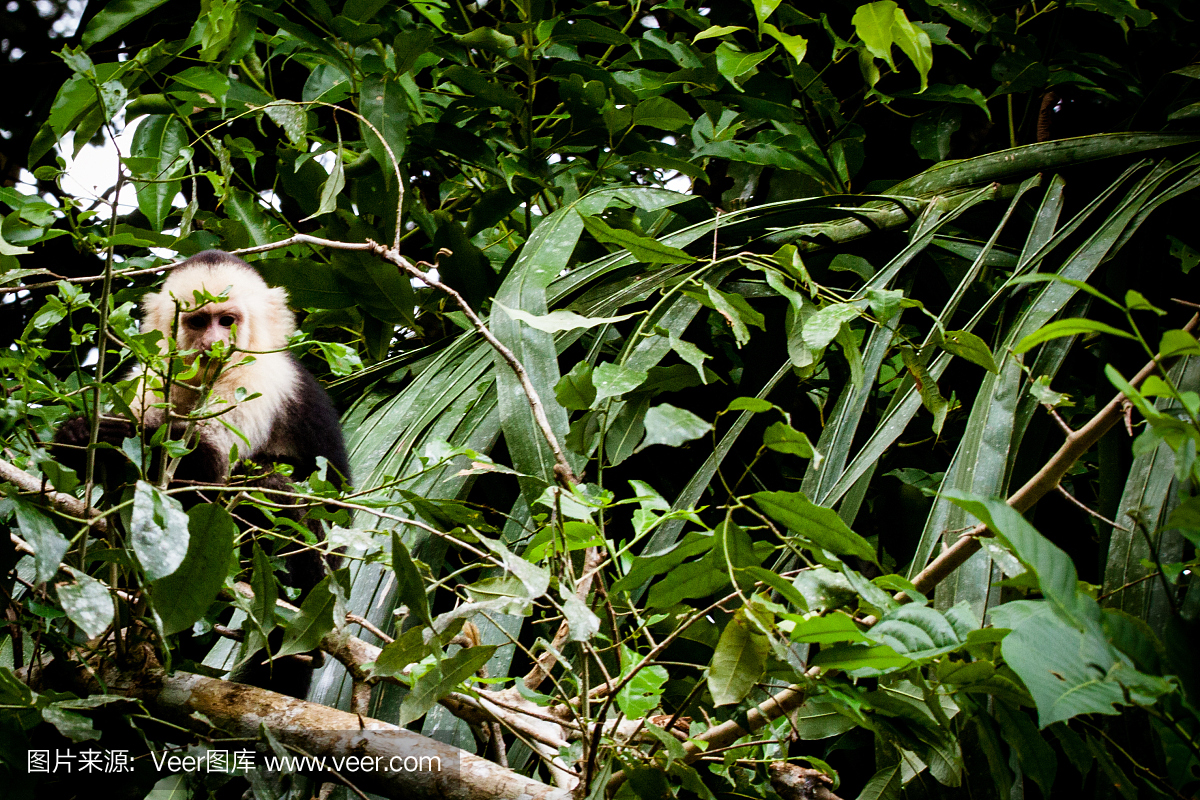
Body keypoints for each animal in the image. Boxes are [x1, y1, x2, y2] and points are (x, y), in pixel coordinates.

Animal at [54, 251, 350, 695]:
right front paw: (76, 435)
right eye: (196, 322)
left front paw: (117, 434)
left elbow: (209, 471)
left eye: (227, 320)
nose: (214, 345)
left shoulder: (256, 379)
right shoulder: (153, 375)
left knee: (269, 484)